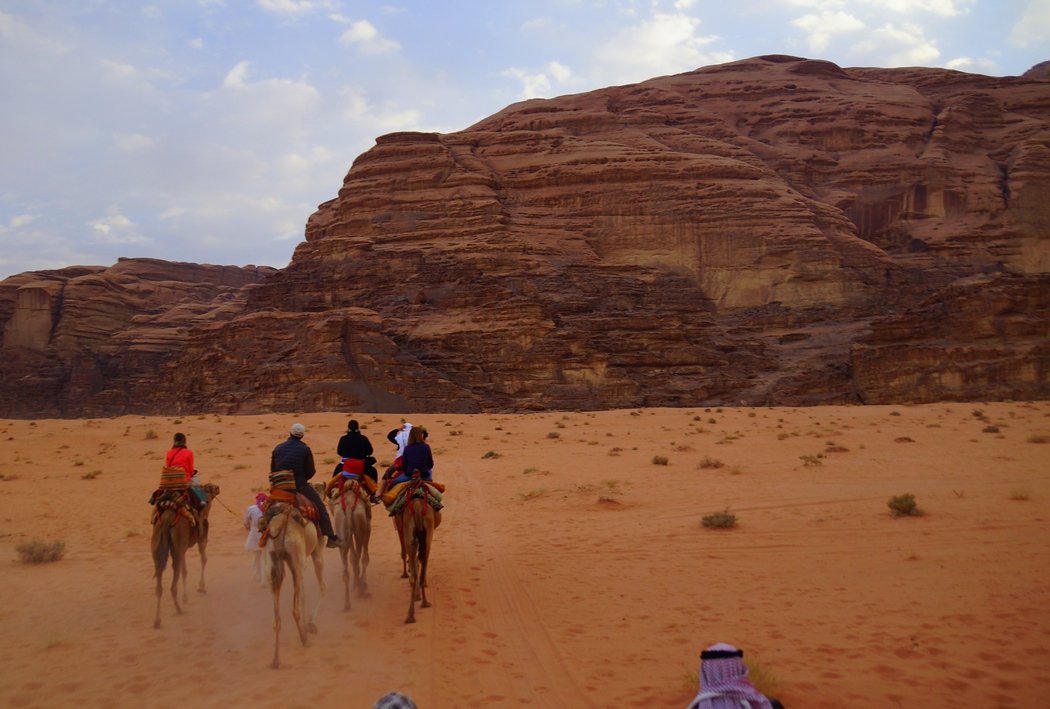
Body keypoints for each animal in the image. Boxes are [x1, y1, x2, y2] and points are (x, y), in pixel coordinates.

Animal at [264, 502, 325, 668]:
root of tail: (282, 525)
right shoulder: (316, 551)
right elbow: (322, 588)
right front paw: (311, 624)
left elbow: (303, 595)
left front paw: (308, 625)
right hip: (297, 558)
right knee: (295, 609)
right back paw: (304, 640)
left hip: (274, 563)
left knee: (277, 619)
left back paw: (276, 659)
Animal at [323, 476, 373, 609]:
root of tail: (350, 505)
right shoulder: (367, 526)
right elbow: (364, 558)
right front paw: (363, 583)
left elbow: (352, 556)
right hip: (360, 525)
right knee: (358, 557)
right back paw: (361, 590)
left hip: (341, 526)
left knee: (347, 566)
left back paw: (347, 604)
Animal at [396, 483, 438, 626]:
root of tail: (418, 506)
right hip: (427, 533)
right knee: (423, 565)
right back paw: (423, 603)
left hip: (410, 532)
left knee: (416, 570)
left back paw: (411, 615)